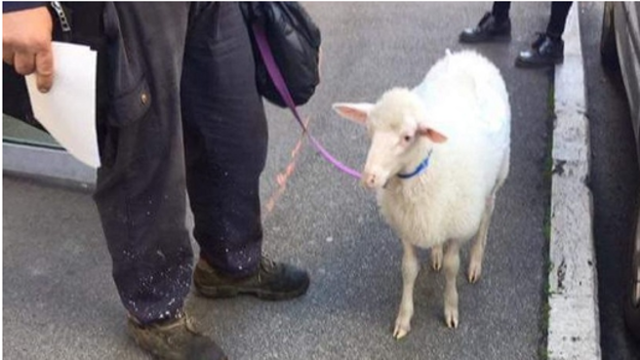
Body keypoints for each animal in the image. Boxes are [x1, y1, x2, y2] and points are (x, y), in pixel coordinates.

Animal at [336, 49, 510, 338]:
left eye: (407, 137)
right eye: (369, 131)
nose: (369, 178)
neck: (426, 167)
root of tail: (466, 55)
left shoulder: (458, 226)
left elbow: (452, 268)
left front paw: (451, 309)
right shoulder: (406, 225)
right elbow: (408, 270)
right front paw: (403, 319)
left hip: (497, 178)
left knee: (487, 215)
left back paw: (475, 261)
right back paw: (436, 253)